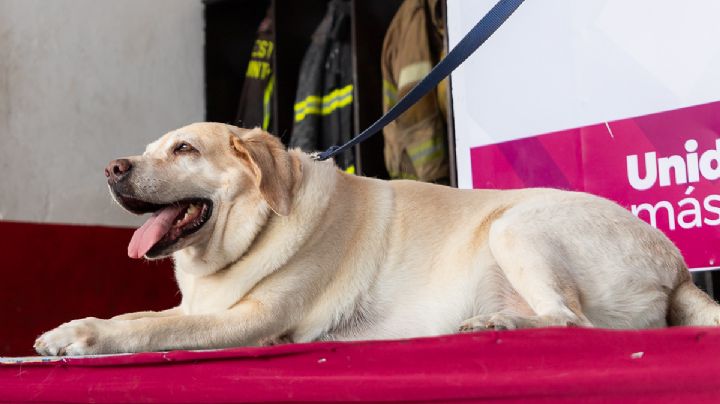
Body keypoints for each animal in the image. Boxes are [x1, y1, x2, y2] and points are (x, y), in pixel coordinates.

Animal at [36, 121, 720, 356]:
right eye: (150, 147)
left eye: (183, 149)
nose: (112, 168)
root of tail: (678, 267)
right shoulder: (204, 305)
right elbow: (143, 313)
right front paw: (71, 326)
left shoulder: (248, 319)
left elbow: (146, 329)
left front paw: (82, 337)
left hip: (517, 224)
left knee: (574, 322)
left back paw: (498, 323)